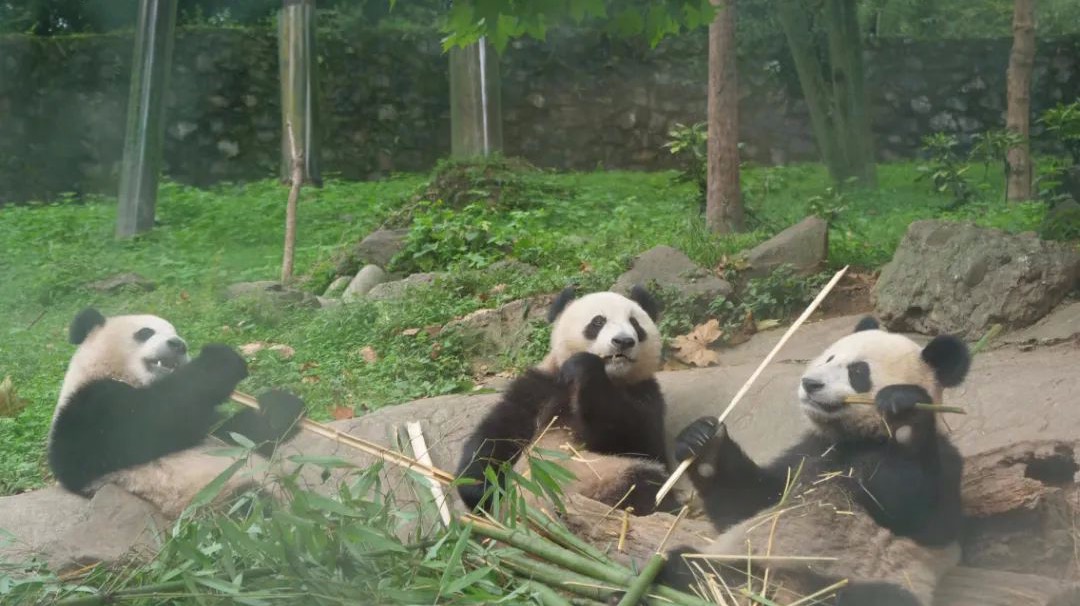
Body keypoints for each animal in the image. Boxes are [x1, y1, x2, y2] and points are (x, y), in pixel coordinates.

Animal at [47, 308, 306, 518]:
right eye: (145, 332)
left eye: (176, 332)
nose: (179, 345)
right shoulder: (87, 411)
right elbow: (147, 423)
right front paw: (221, 360)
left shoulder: (210, 422)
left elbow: (242, 433)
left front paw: (281, 407)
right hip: (216, 498)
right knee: (254, 511)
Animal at [457, 285, 678, 516]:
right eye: (598, 322)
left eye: (635, 323)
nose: (624, 341)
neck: (613, 377)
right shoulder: (540, 388)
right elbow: (499, 433)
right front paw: (480, 490)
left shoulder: (645, 394)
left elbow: (633, 436)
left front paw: (586, 367)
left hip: (607, 475)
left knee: (645, 484)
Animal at [662, 316, 970, 606]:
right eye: (829, 357)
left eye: (858, 371)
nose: (810, 383)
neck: (853, 438)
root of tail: (785, 590)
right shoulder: (806, 456)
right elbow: (746, 503)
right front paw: (704, 442)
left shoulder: (945, 461)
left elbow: (924, 518)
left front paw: (904, 415)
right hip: (742, 561)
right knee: (689, 567)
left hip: (876, 579)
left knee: (876, 597)